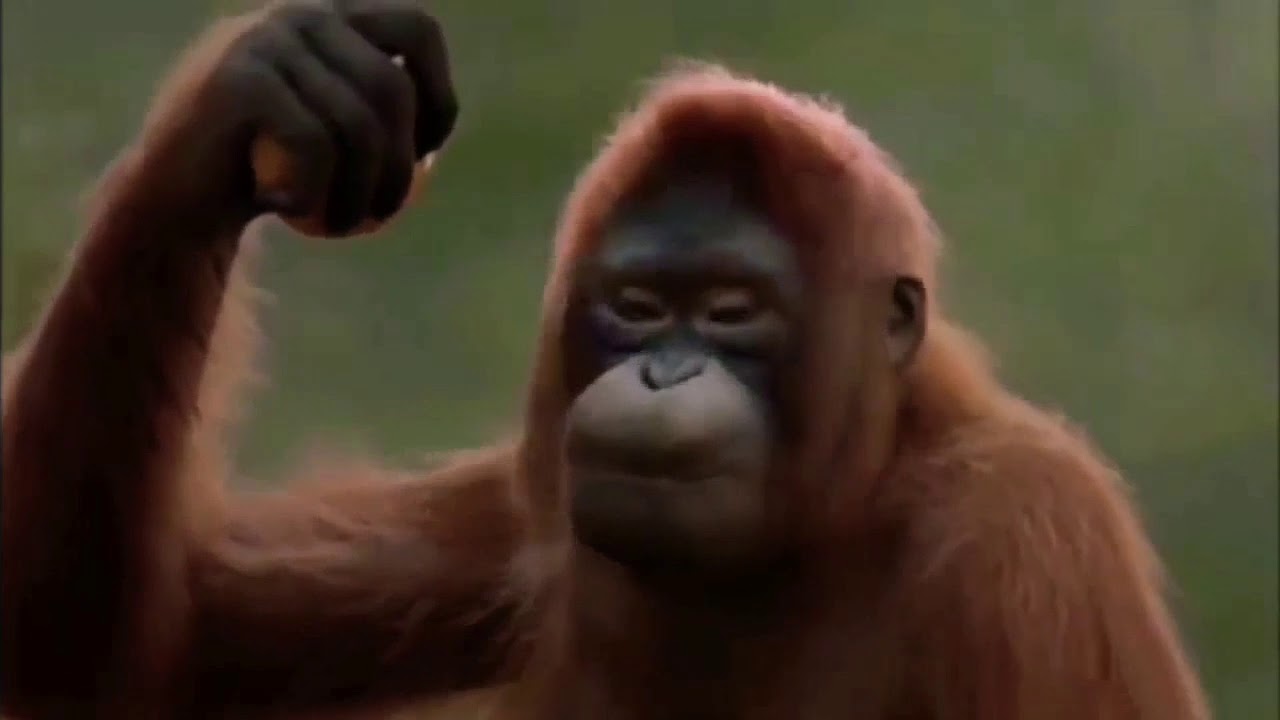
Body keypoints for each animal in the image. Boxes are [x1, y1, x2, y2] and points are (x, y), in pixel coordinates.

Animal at [0, 2, 1212, 718]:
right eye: (635, 308)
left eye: (729, 313)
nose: (664, 371)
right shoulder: (516, 519)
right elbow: (113, 653)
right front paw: (259, 89)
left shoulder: (1024, 535)